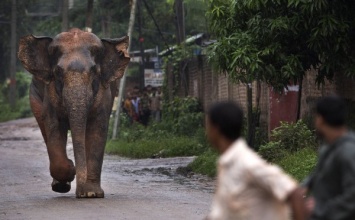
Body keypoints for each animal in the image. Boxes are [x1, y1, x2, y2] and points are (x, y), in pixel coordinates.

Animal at [17, 28, 130, 199]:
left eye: (94, 72)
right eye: (58, 72)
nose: (80, 193)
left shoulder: (104, 94)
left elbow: (97, 130)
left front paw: (91, 193)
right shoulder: (50, 93)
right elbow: (54, 127)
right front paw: (71, 170)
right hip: (34, 96)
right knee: (45, 130)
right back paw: (61, 185)